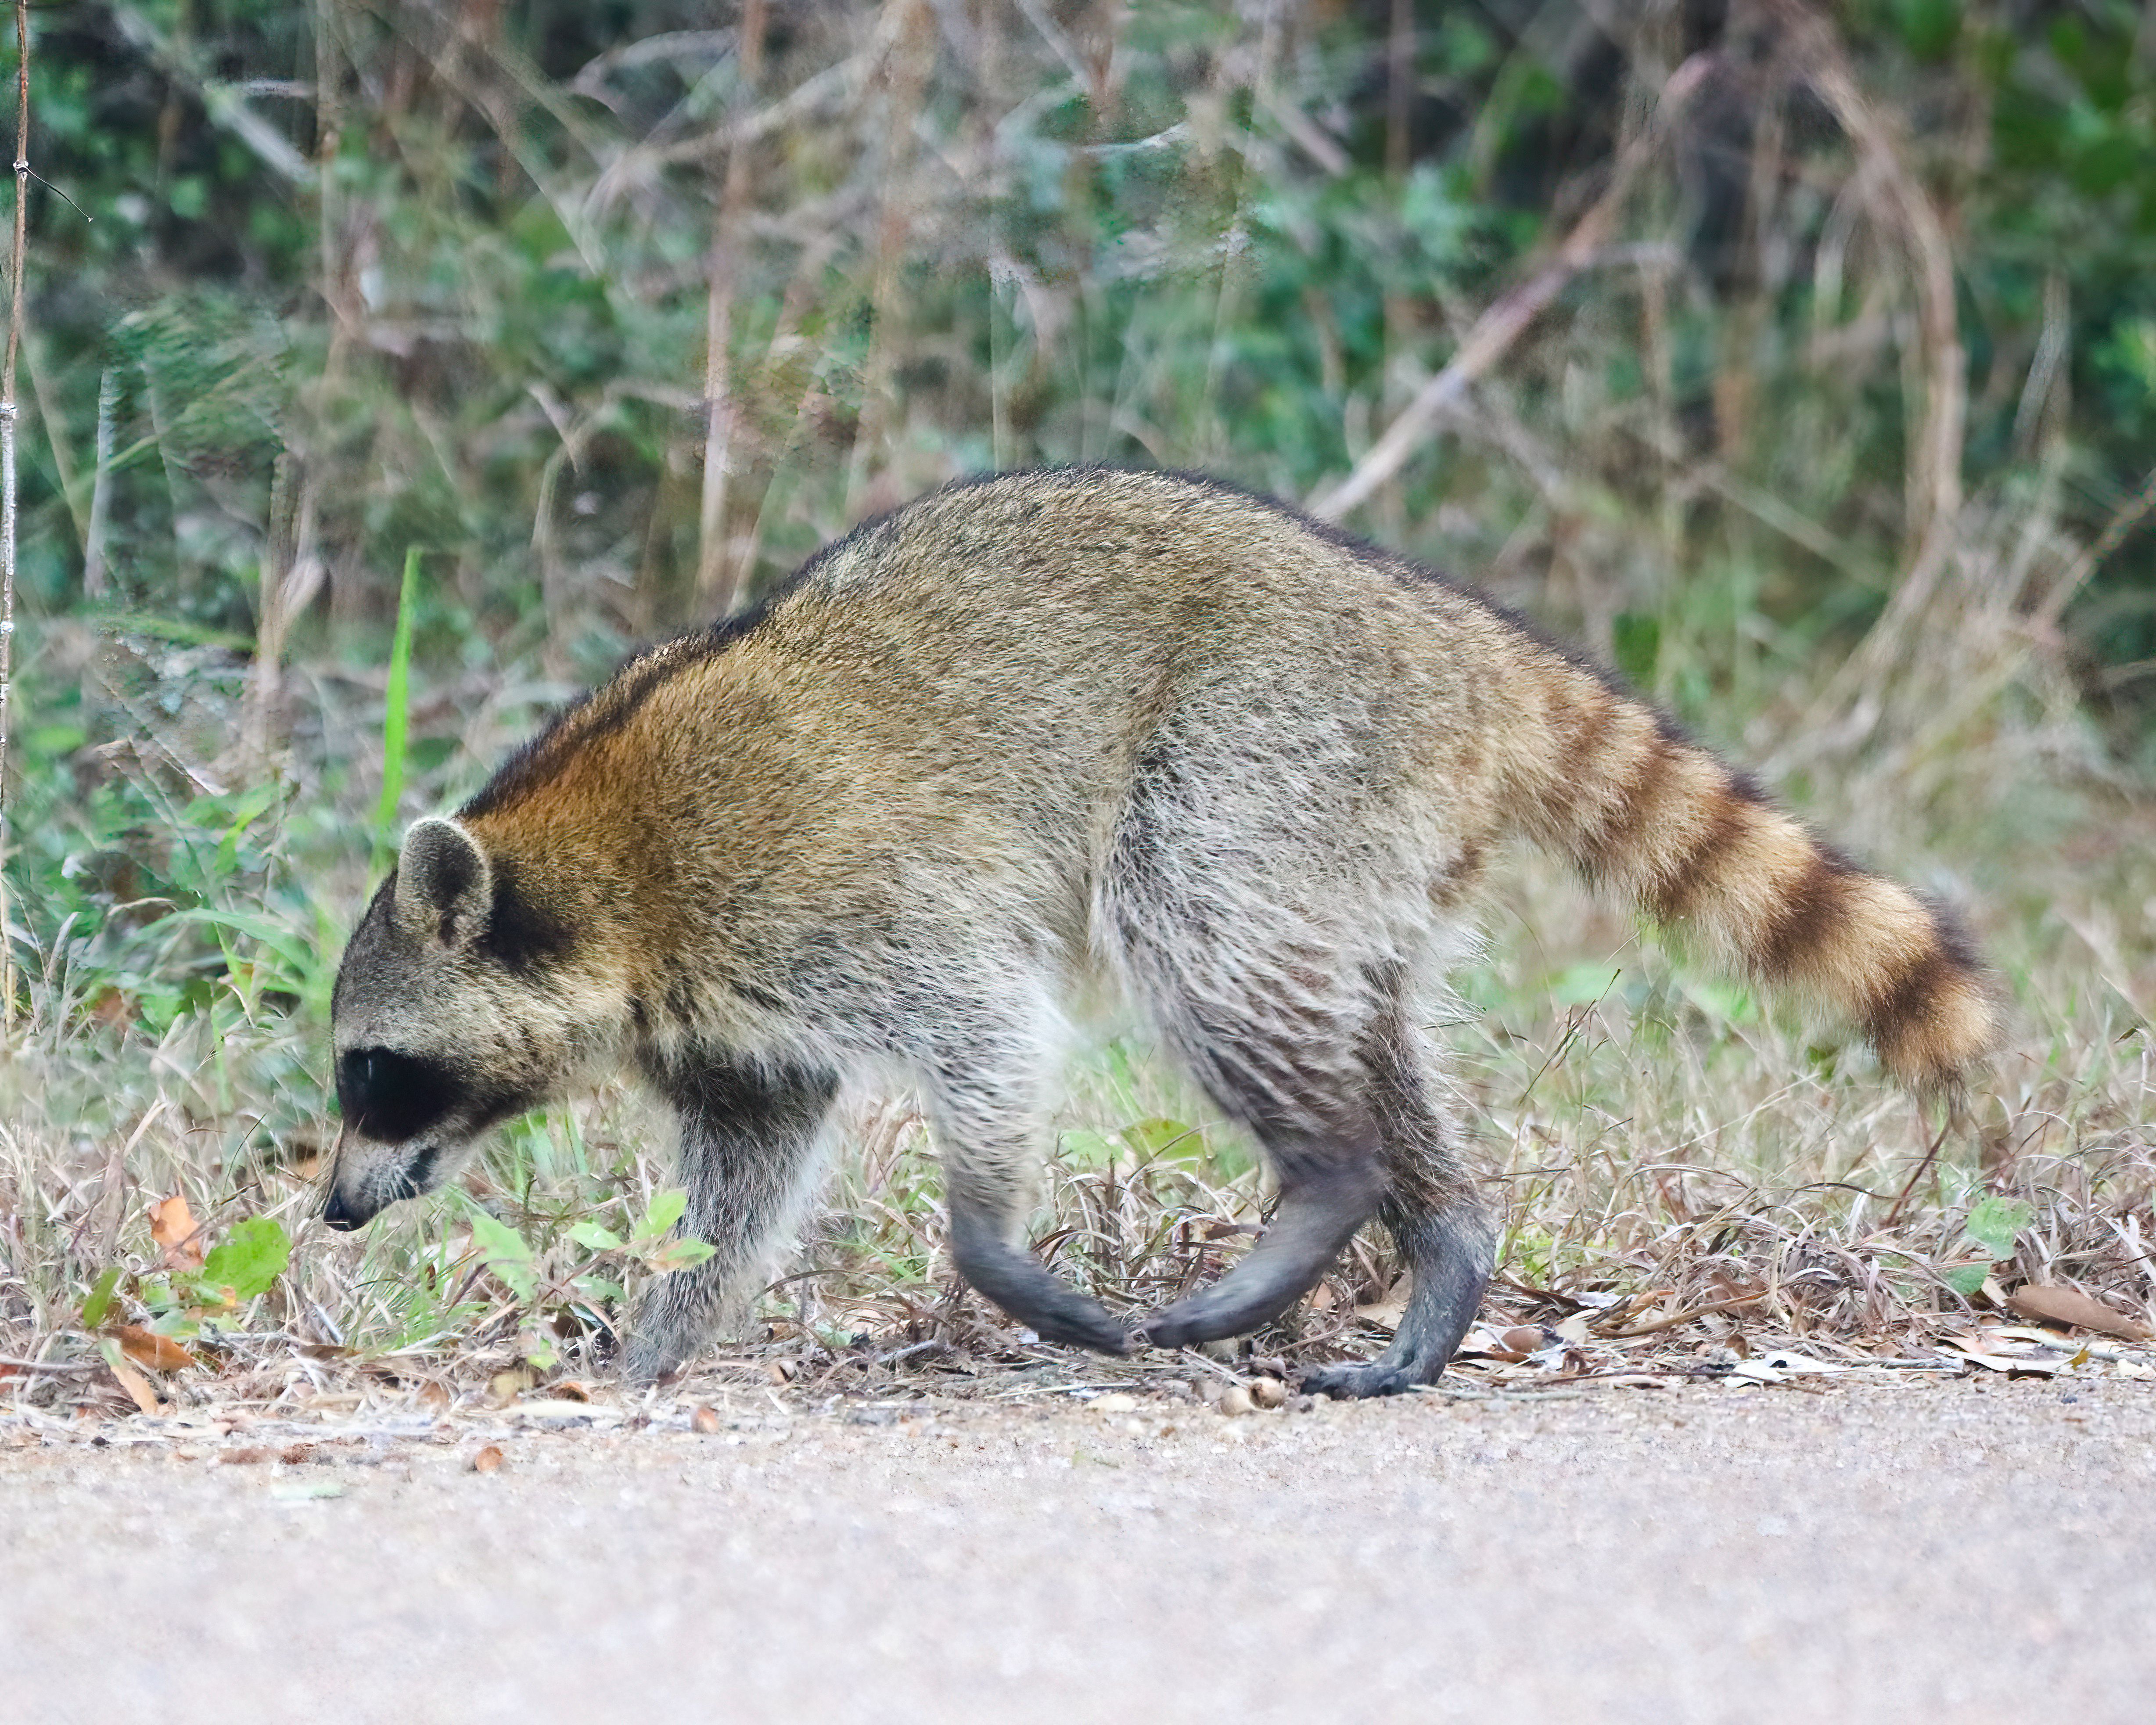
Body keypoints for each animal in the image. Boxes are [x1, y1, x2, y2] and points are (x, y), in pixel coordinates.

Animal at [326, 467, 1997, 1396]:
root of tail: (1452, 636)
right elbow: (751, 1162)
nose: (334, 1210)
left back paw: (1332, 1186)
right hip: (1360, 831)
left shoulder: (824, 892)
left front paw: (987, 1248)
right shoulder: (727, 1018)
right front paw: (655, 1347)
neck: (595, 874)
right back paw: (1441, 1239)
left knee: (1201, 935)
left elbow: (990, 1026)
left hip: (1266, 743)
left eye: (367, 1071)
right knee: (1359, 1013)